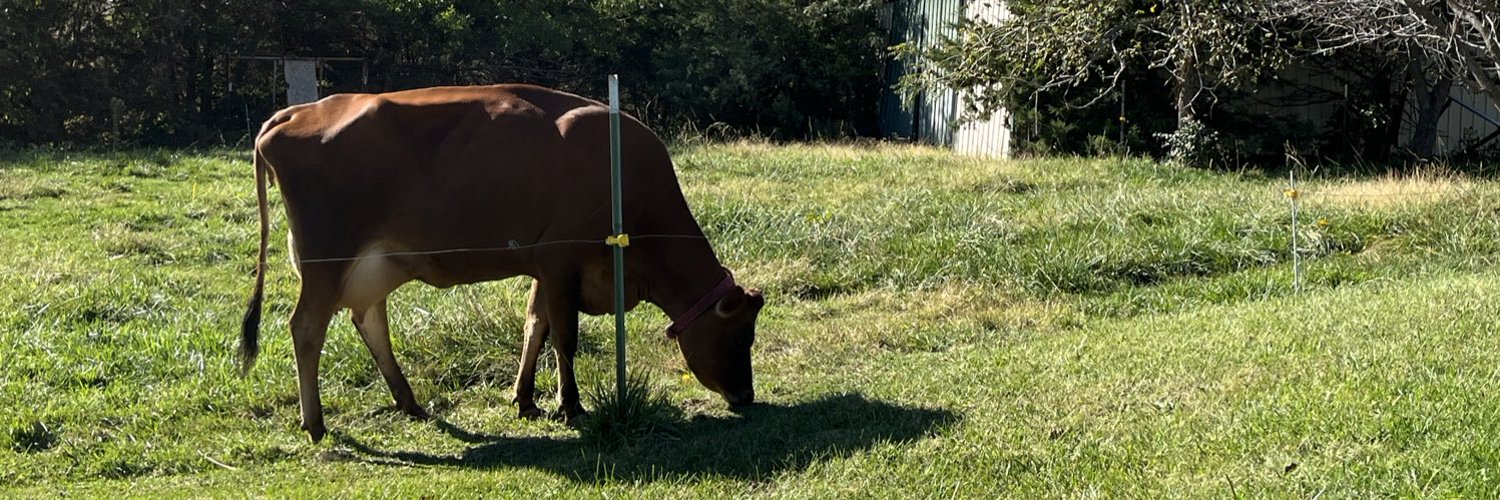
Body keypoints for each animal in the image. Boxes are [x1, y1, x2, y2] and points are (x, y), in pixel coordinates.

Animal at [243, 83, 774, 441]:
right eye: (740, 335)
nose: (745, 396)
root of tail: (297, 111)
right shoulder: (562, 261)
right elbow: (564, 338)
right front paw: (570, 406)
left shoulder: (545, 267)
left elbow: (534, 326)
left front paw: (525, 399)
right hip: (325, 259)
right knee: (306, 328)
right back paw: (316, 423)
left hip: (374, 264)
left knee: (369, 320)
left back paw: (410, 404)